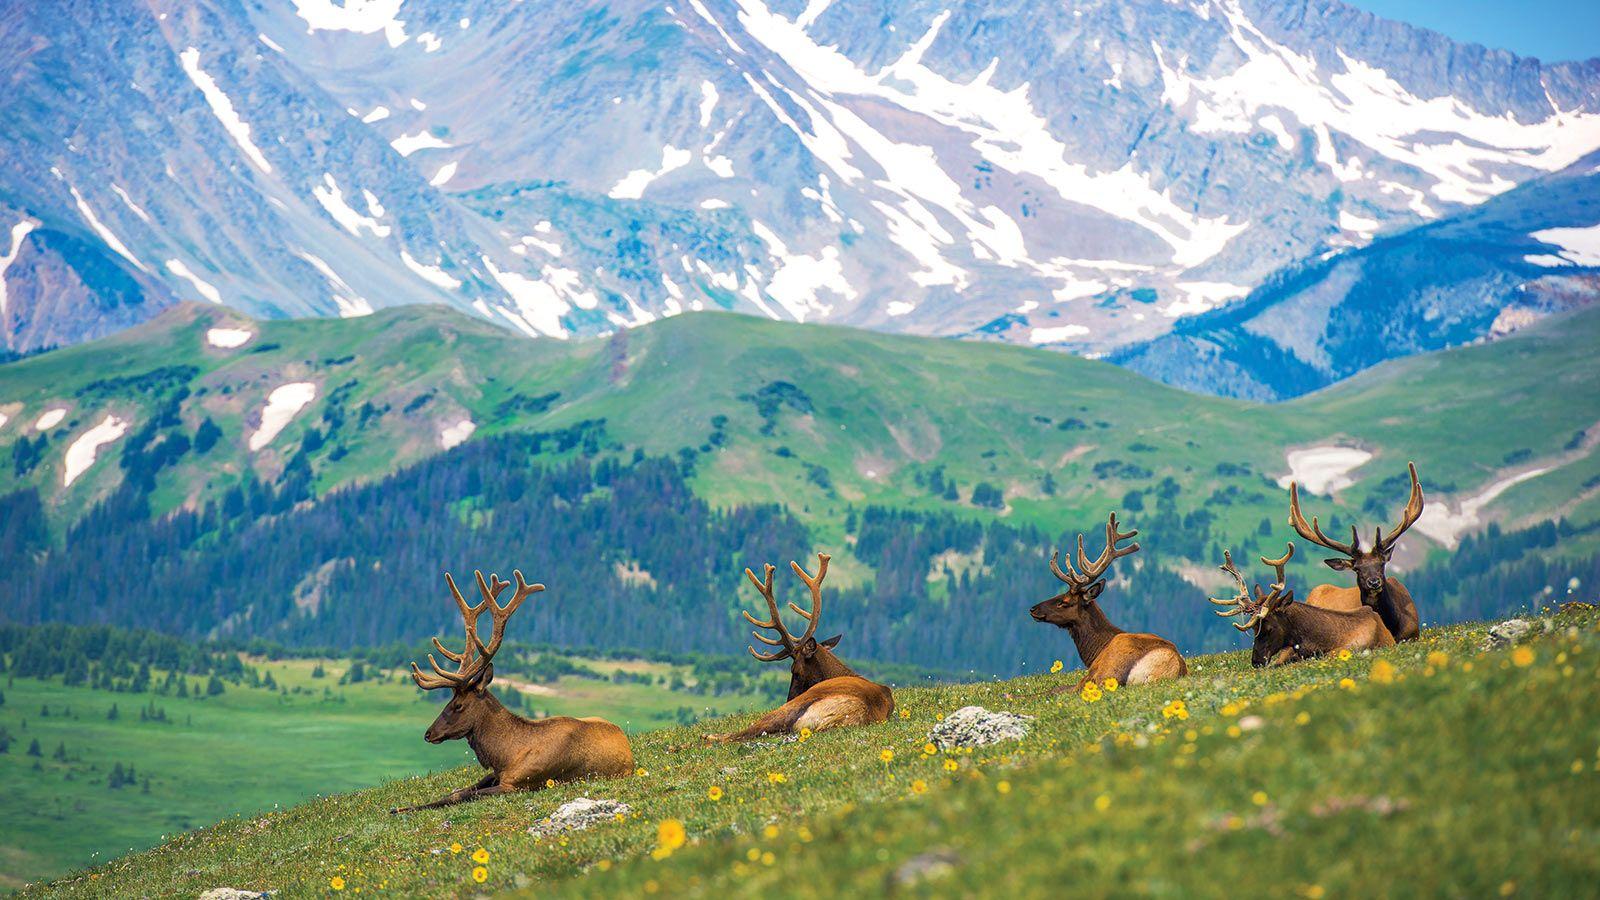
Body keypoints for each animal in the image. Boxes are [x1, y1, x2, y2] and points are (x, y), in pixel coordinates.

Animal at [392, 569, 633, 813]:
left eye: (457, 705)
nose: (428, 733)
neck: (505, 755)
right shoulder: (496, 774)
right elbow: (456, 792)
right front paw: (399, 808)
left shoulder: (518, 784)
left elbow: (463, 795)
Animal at [1029, 512, 1186, 692]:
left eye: (1064, 601)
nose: (1033, 609)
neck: (1095, 651)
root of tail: (1171, 665)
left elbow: (1056, 689)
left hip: (1106, 671)